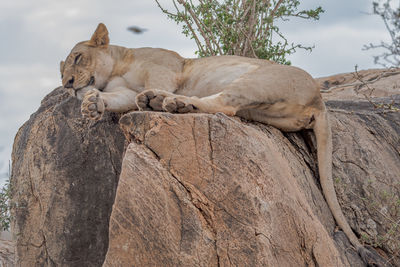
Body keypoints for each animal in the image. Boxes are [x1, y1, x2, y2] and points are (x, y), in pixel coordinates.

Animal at [61, 22, 386, 266]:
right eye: (61, 70)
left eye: (77, 57)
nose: (67, 84)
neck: (116, 67)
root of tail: (320, 100)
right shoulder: (125, 91)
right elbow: (116, 98)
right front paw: (92, 104)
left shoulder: (165, 70)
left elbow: (152, 86)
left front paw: (110, 99)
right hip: (260, 110)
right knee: (228, 107)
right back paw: (167, 103)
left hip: (257, 78)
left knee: (221, 103)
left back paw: (167, 102)